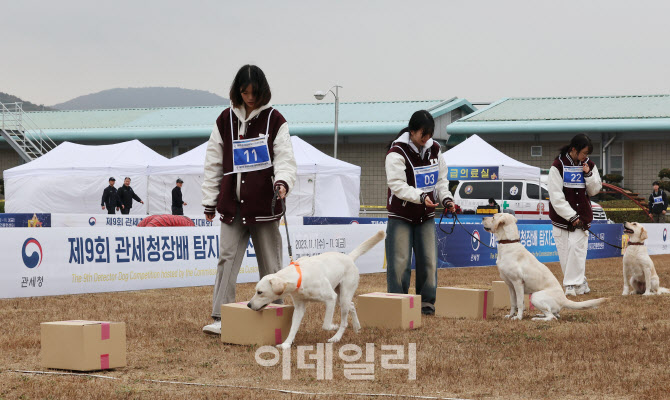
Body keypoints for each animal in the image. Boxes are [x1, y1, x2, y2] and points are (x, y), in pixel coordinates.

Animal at [248, 230, 386, 348]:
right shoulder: (299, 307)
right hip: (340, 297)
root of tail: (349, 257)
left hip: (342, 296)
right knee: (351, 305)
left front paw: (333, 326)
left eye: (260, 292)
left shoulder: (330, 299)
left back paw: (336, 337)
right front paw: (286, 344)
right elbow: (293, 328)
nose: (248, 305)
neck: (300, 277)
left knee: (345, 321)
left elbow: (325, 325)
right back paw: (357, 327)